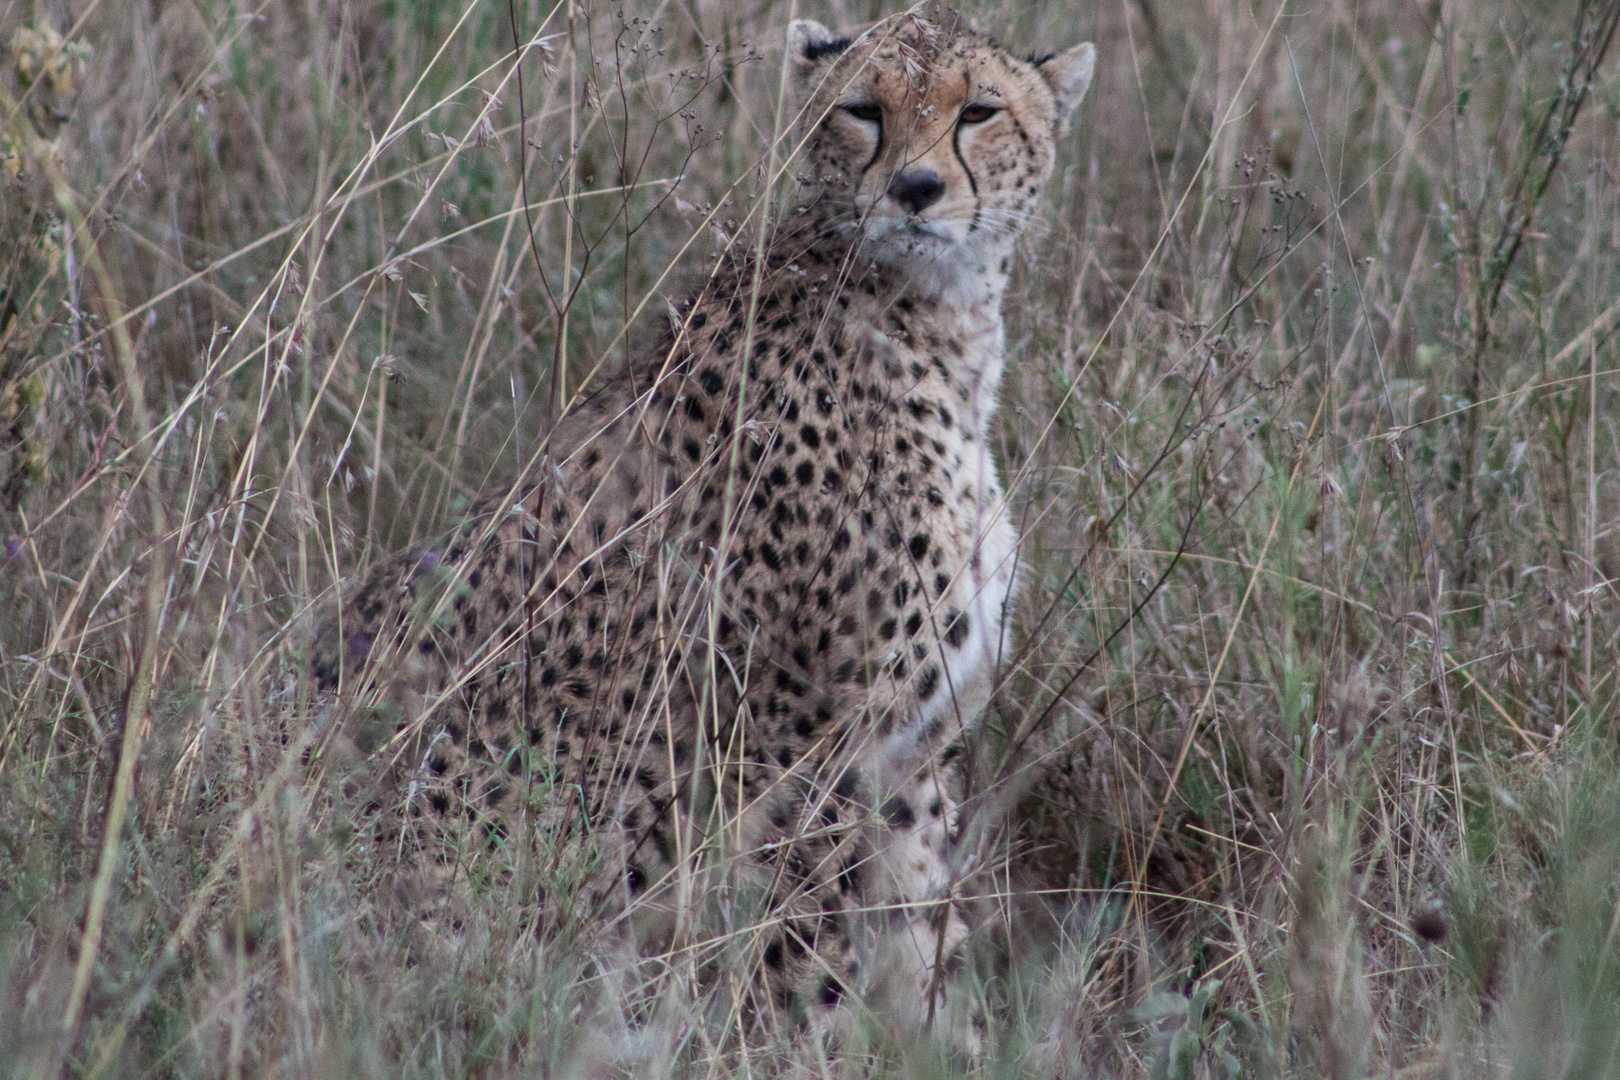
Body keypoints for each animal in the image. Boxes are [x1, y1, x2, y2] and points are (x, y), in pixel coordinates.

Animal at [314, 8, 1095, 1042]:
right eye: (862, 110)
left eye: (979, 112)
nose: (915, 189)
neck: (932, 321)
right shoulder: (796, 747)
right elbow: (809, 951)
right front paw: (809, 1047)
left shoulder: (908, 752)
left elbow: (920, 931)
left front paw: (946, 1043)